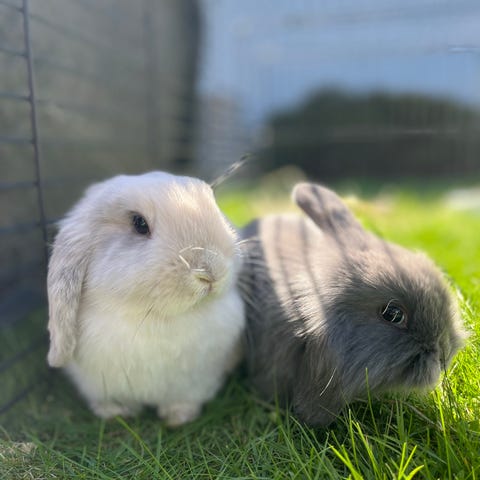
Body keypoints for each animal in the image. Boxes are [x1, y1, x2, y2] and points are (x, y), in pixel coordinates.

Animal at [47, 171, 245, 426]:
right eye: (139, 223)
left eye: (214, 206)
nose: (211, 272)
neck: (153, 317)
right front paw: (115, 413)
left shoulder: (195, 383)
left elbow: (184, 400)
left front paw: (178, 418)